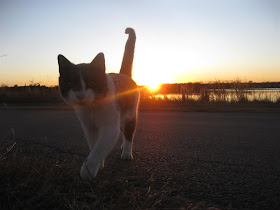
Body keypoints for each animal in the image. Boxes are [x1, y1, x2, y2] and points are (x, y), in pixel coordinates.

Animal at [57, 27, 139, 181]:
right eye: (70, 83)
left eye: (92, 82)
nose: (80, 95)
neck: (92, 107)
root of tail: (124, 74)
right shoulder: (89, 127)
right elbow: (94, 145)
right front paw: (99, 164)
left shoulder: (109, 127)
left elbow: (99, 147)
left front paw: (88, 169)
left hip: (130, 112)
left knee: (129, 132)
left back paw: (126, 152)